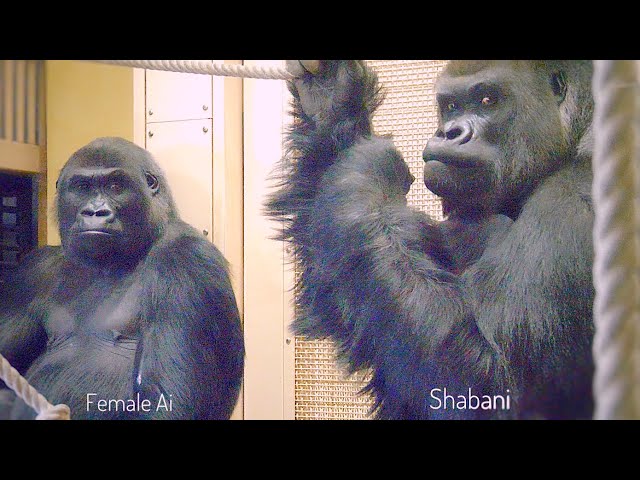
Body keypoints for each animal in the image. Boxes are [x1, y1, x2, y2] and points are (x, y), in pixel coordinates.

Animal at [0, 136, 245, 420]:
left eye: (115, 186)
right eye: (82, 187)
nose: (95, 212)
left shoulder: (190, 261)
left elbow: (170, 402)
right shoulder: (33, 272)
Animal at [266, 61, 596, 420]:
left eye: (487, 100)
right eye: (451, 106)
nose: (449, 132)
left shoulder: (576, 198)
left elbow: (488, 382)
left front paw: (365, 169)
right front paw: (332, 98)